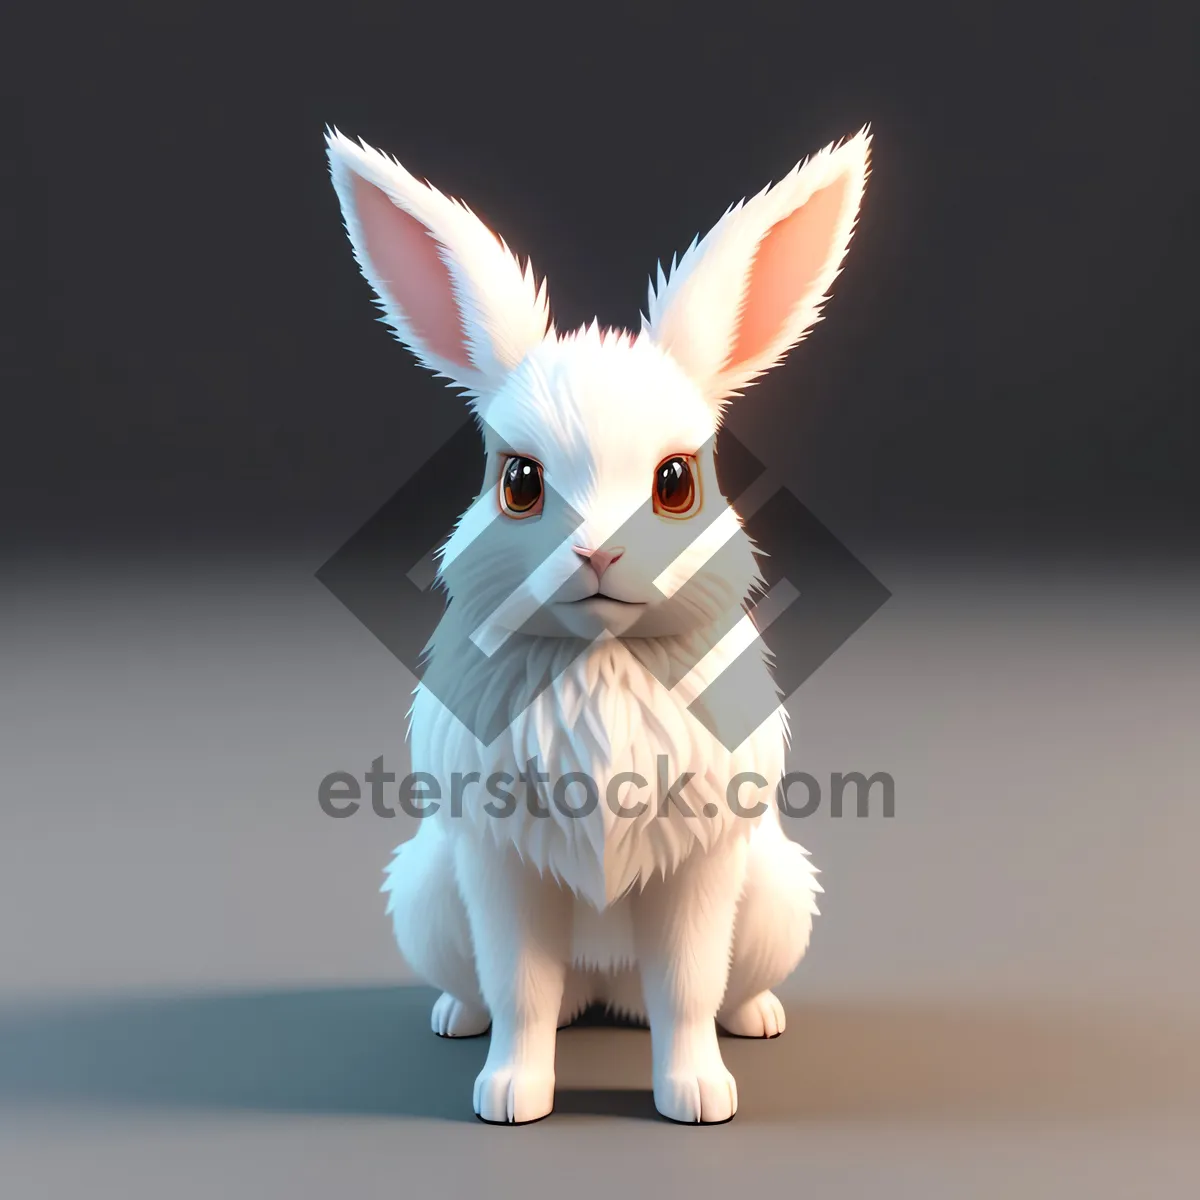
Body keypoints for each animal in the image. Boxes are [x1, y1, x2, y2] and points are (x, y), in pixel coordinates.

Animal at [328, 129, 873, 1123]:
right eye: (519, 482)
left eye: (676, 482)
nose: (599, 553)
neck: (602, 660)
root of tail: (605, 994)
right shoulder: (502, 863)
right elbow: (522, 989)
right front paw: (510, 1098)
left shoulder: (701, 867)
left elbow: (687, 988)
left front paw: (699, 1097)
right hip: (427, 894)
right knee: (507, 989)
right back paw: (455, 1020)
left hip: (777, 894)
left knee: (714, 988)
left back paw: (758, 1020)